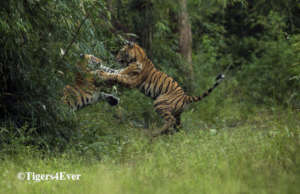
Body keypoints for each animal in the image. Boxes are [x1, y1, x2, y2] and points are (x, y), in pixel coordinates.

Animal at [92, 42, 224, 136]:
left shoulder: (131, 80)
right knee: (178, 125)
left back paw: (156, 133)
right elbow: (111, 70)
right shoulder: (122, 71)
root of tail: (186, 96)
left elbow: (116, 75)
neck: (136, 58)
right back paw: (174, 136)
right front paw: (98, 67)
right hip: (177, 114)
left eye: (122, 51)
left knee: (170, 120)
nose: (116, 57)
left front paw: (101, 73)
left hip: (159, 102)